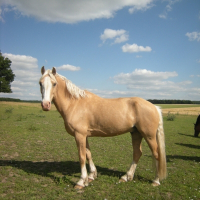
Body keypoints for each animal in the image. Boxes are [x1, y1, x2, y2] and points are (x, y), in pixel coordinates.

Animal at [39, 67, 167, 189]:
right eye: (40, 83)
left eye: (54, 83)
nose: (45, 105)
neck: (74, 104)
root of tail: (154, 107)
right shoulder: (84, 135)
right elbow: (88, 154)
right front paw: (91, 176)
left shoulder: (79, 135)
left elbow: (82, 156)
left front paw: (81, 182)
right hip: (136, 133)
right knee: (137, 153)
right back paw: (126, 177)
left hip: (149, 136)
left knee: (156, 154)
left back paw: (156, 181)